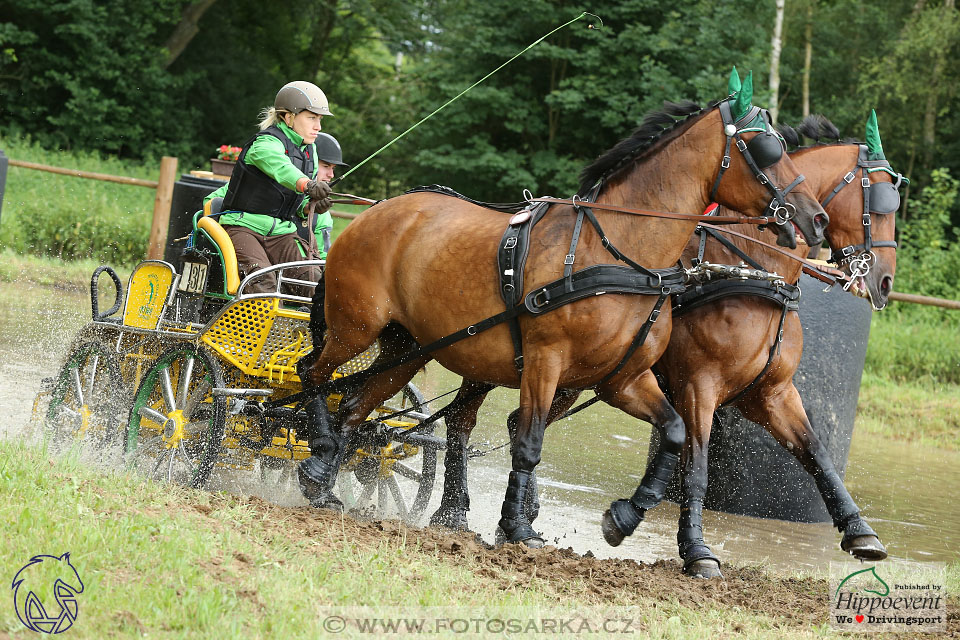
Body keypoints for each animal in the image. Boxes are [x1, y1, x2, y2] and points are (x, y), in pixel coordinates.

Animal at [300, 92, 824, 548]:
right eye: (767, 149)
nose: (815, 220)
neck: (621, 253)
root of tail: (375, 213)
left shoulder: (623, 380)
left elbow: (675, 433)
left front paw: (622, 518)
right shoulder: (545, 361)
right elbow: (529, 442)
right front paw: (517, 528)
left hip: (407, 349)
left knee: (358, 406)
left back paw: (325, 482)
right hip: (355, 329)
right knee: (313, 374)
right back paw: (317, 455)